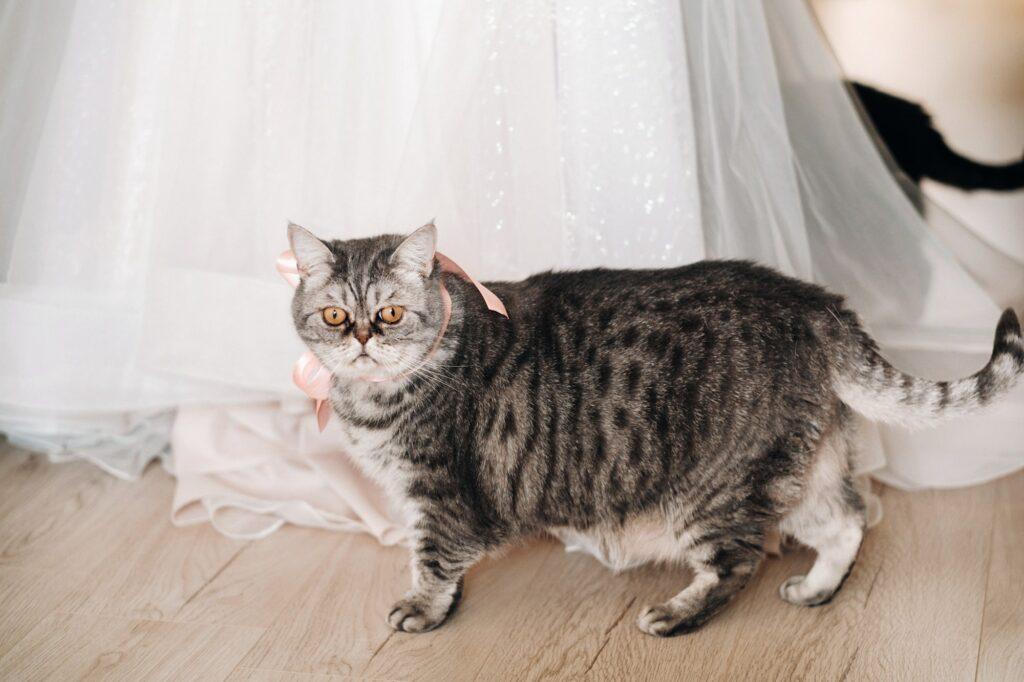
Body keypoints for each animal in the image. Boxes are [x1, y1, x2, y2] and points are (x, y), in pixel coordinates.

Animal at [286, 220, 1024, 634]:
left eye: (388, 314)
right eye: (334, 316)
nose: (359, 339)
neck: (374, 397)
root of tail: (813, 300)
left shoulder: (439, 495)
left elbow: (433, 558)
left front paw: (423, 609)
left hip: (714, 489)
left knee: (740, 559)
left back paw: (674, 615)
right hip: (801, 466)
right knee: (847, 521)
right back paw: (815, 590)